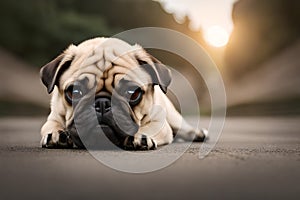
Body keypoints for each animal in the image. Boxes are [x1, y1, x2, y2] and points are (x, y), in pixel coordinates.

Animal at [39, 38, 207, 150]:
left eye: (133, 93)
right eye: (74, 92)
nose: (102, 103)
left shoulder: (160, 122)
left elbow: (150, 128)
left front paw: (140, 136)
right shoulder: (53, 117)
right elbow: (52, 125)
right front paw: (56, 134)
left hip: (172, 116)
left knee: (182, 127)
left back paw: (198, 133)